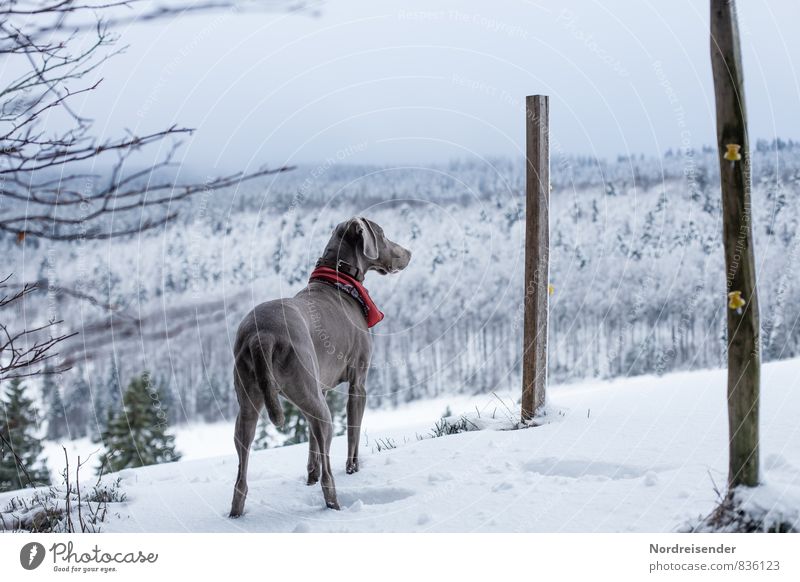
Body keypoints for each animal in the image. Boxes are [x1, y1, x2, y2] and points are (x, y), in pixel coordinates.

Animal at [228, 217, 410, 516]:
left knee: (242, 465)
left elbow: (312, 443)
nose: (409, 253)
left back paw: (236, 514)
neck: (341, 281)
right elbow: (353, 433)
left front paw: (309, 476)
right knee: (328, 466)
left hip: (251, 402)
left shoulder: (319, 390)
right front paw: (353, 469)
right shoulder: (358, 383)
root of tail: (261, 335)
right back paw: (334, 503)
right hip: (318, 404)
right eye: (383, 234)